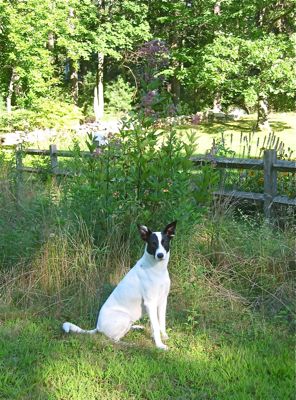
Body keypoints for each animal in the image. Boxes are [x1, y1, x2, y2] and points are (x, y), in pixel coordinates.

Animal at [62, 222, 177, 350]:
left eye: (164, 242)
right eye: (153, 243)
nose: (160, 255)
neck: (157, 270)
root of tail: (98, 327)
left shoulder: (162, 301)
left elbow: (160, 323)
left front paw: (164, 337)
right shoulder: (150, 302)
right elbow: (156, 326)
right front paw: (160, 345)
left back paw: (136, 327)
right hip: (124, 317)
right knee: (114, 340)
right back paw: (130, 344)